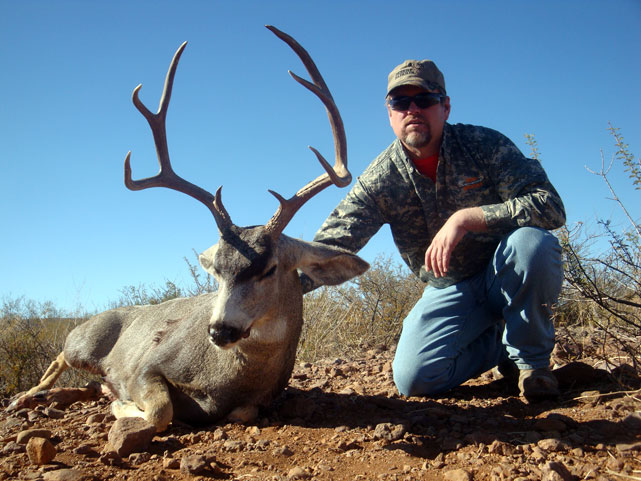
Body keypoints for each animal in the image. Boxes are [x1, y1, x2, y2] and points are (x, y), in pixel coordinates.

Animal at [15, 26, 364, 432]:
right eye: (216, 271)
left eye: (271, 268)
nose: (219, 330)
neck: (224, 381)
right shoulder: (146, 366)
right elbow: (159, 411)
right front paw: (122, 404)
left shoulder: (259, 401)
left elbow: (241, 412)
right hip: (81, 343)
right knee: (59, 359)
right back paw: (26, 397)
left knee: (82, 383)